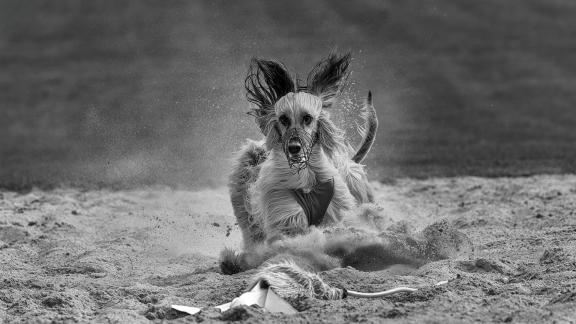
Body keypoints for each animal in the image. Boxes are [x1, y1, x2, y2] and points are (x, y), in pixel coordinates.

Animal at [220, 52, 378, 276]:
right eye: (283, 119)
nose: (294, 148)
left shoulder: (336, 213)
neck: (306, 177)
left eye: (307, 118)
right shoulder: (287, 216)